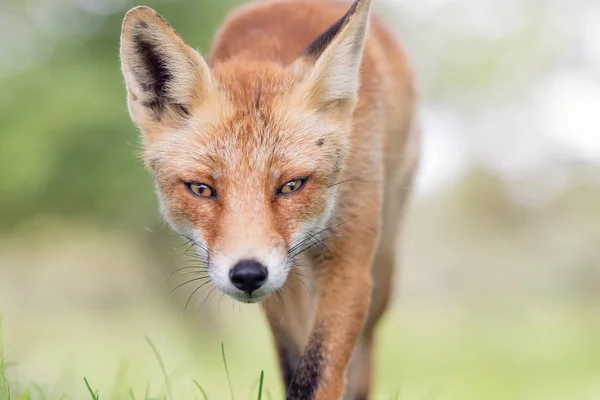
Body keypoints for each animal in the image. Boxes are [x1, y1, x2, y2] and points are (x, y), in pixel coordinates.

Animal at [117, 0, 418, 396]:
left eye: (291, 185)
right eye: (201, 189)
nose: (247, 274)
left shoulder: (348, 260)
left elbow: (319, 372)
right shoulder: (279, 285)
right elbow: (295, 366)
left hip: (382, 267)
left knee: (364, 353)